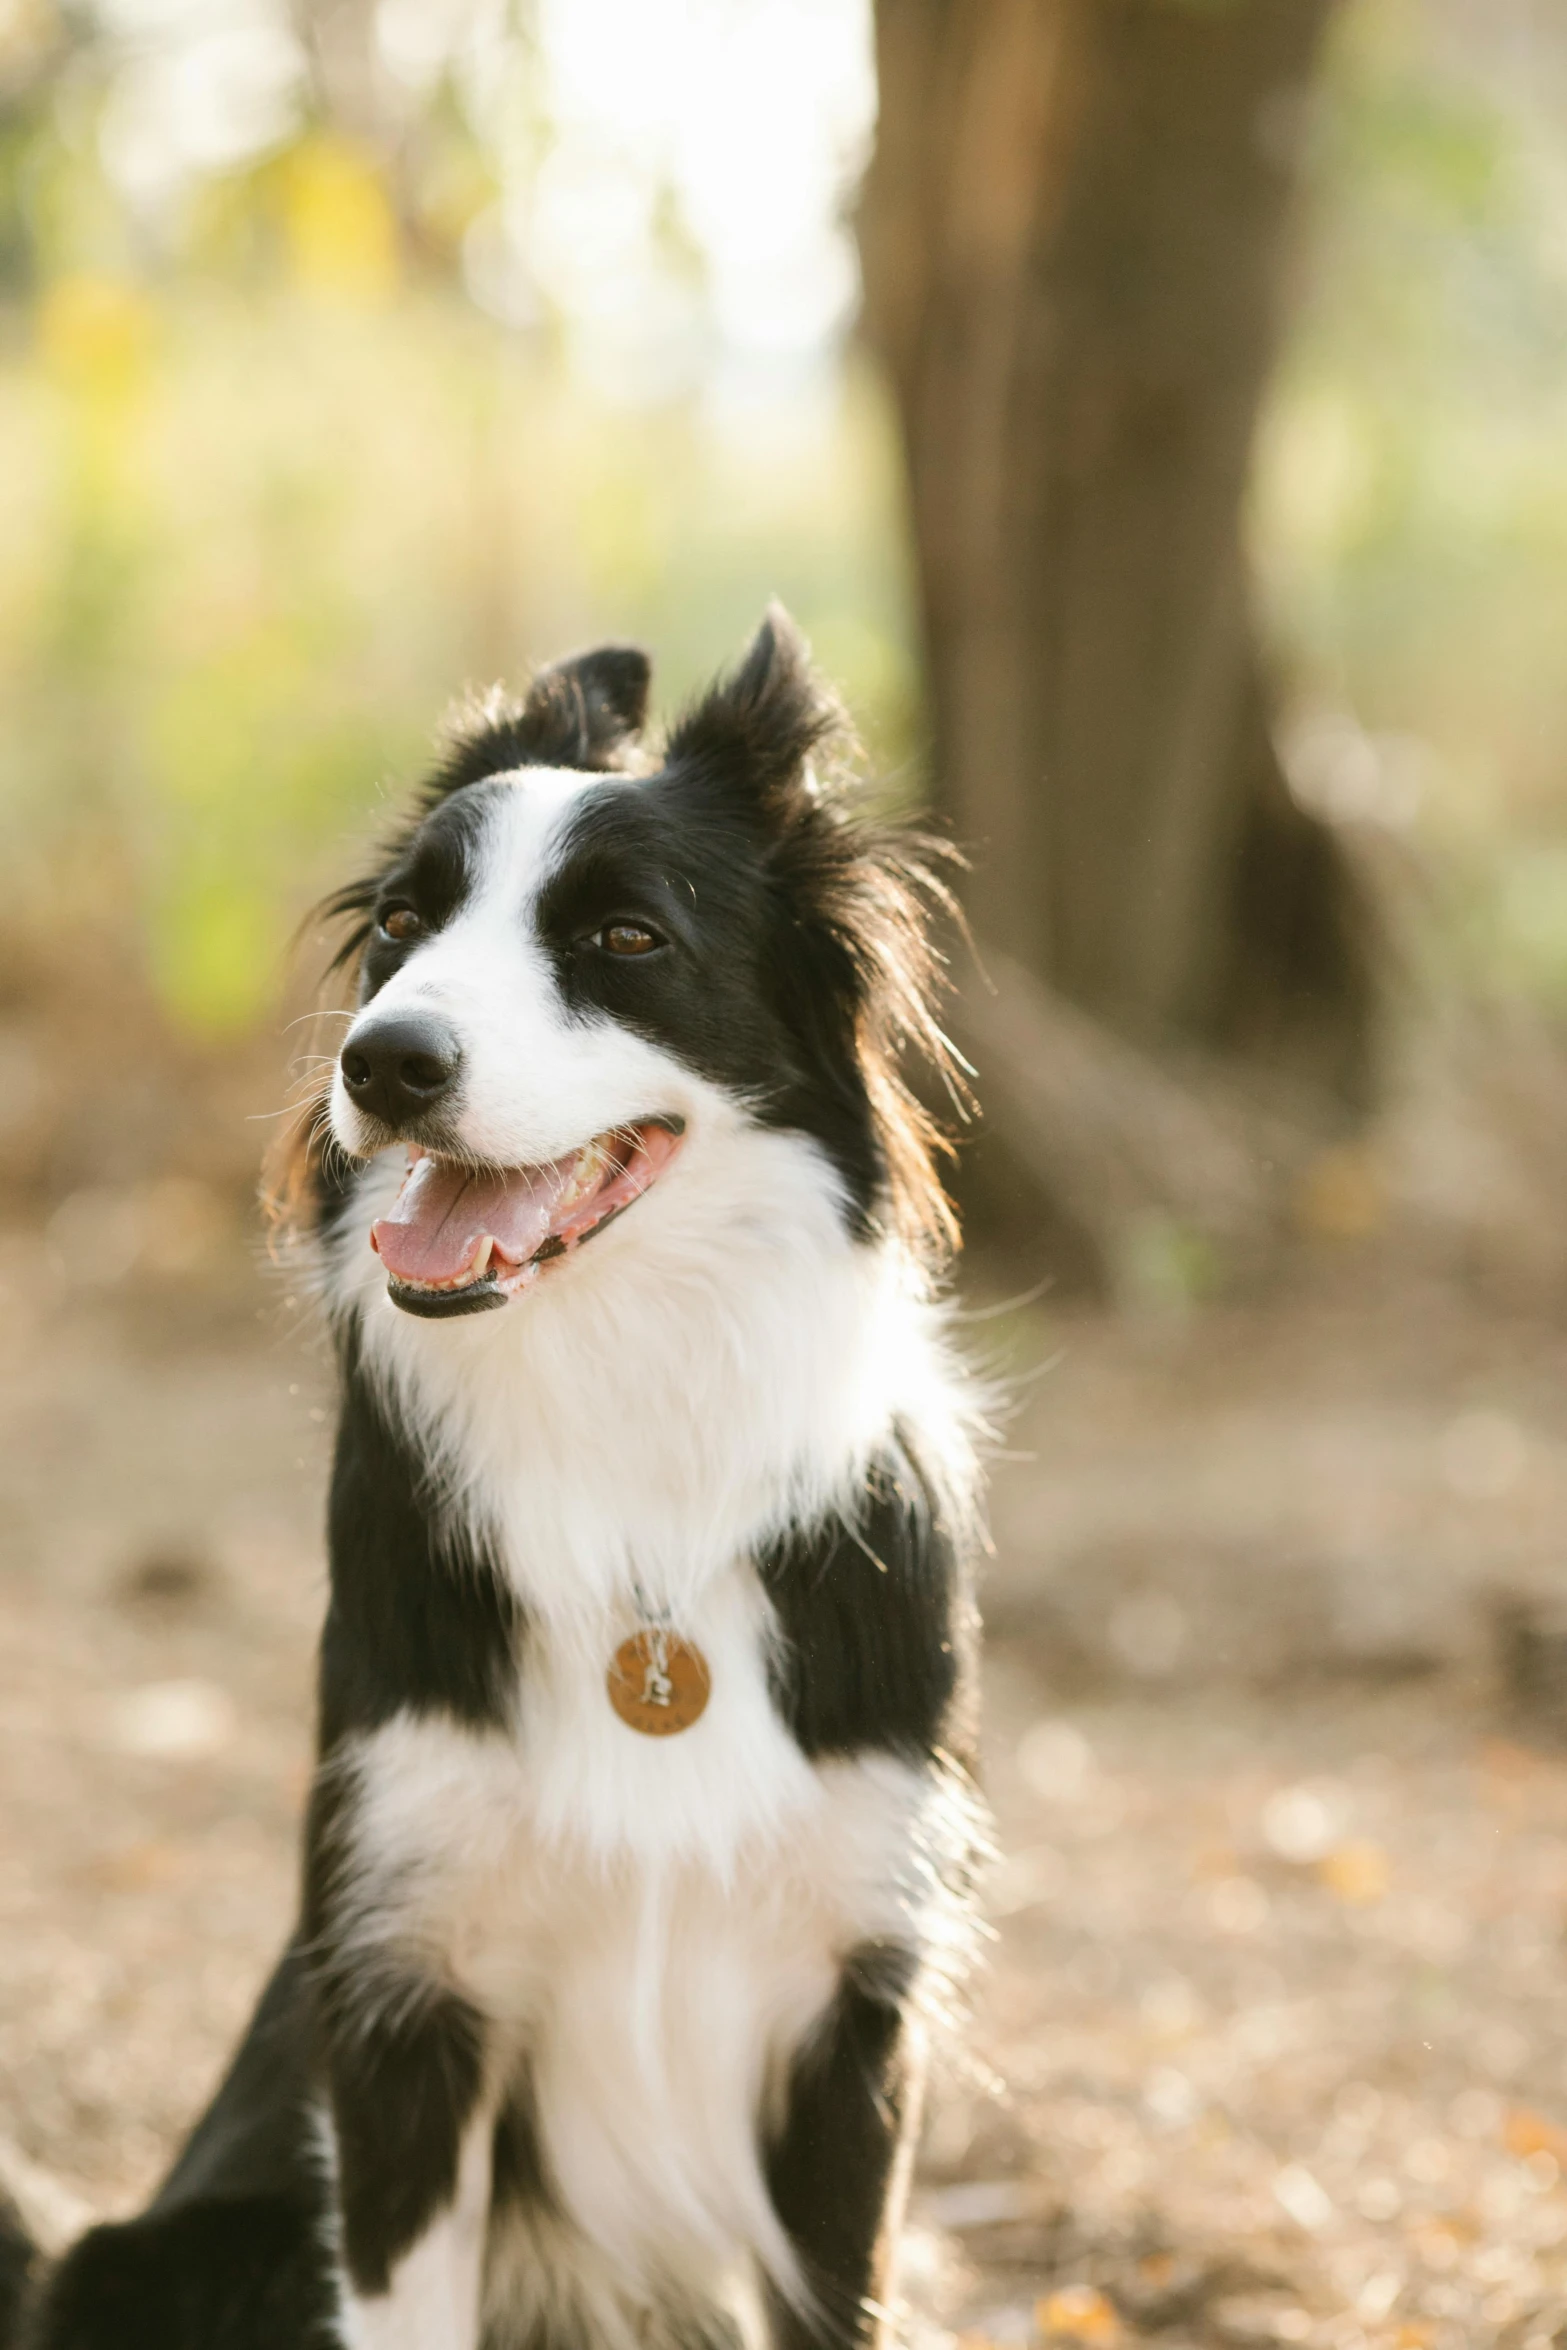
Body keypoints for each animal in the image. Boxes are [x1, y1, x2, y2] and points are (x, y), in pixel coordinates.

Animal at [12, 611, 986, 2350]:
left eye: (622, 935)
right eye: (402, 925)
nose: (381, 1062)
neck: (625, 1423)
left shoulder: (850, 2023)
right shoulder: (404, 1999)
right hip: (171, 2249)